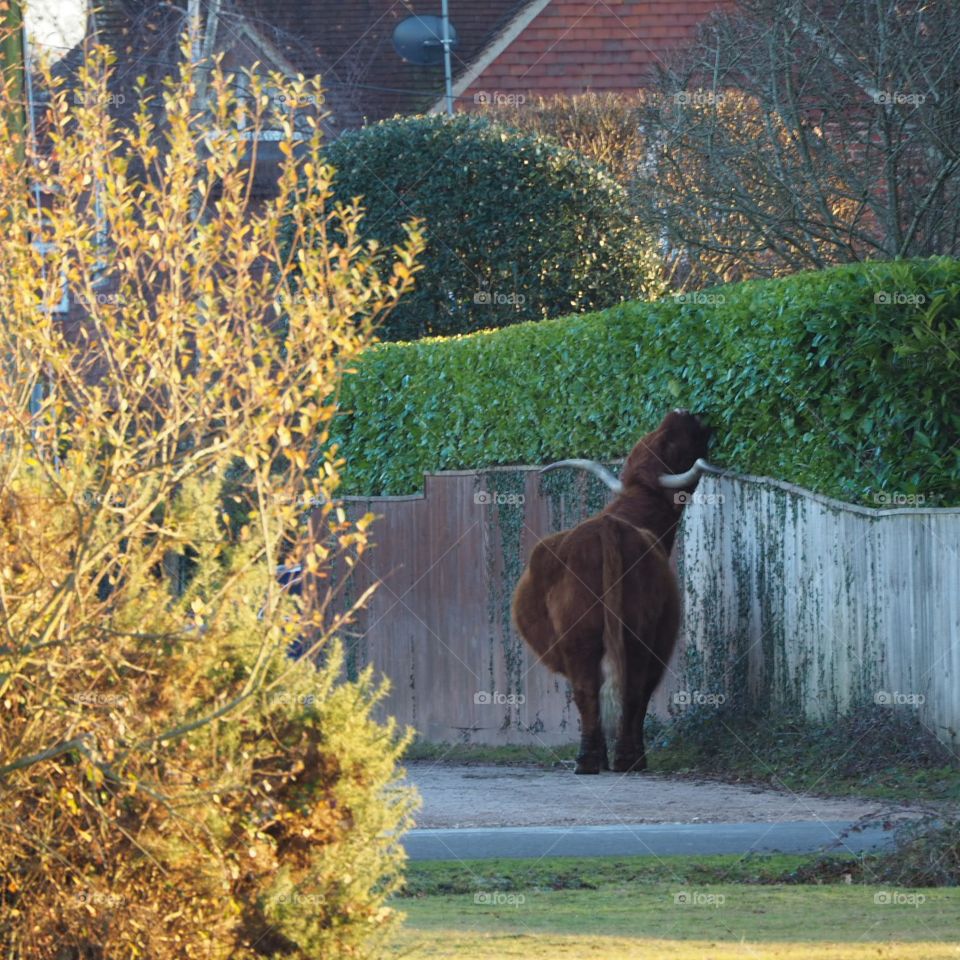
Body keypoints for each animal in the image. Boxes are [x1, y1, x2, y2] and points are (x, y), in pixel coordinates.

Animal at [511, 410, 714, 774]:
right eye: (673, 442)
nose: (682, 413)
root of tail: (607, 529)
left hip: (586, 638)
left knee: (592, 691)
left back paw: (593, 759)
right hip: (638, 636)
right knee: (628, 692)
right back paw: (628, 760)